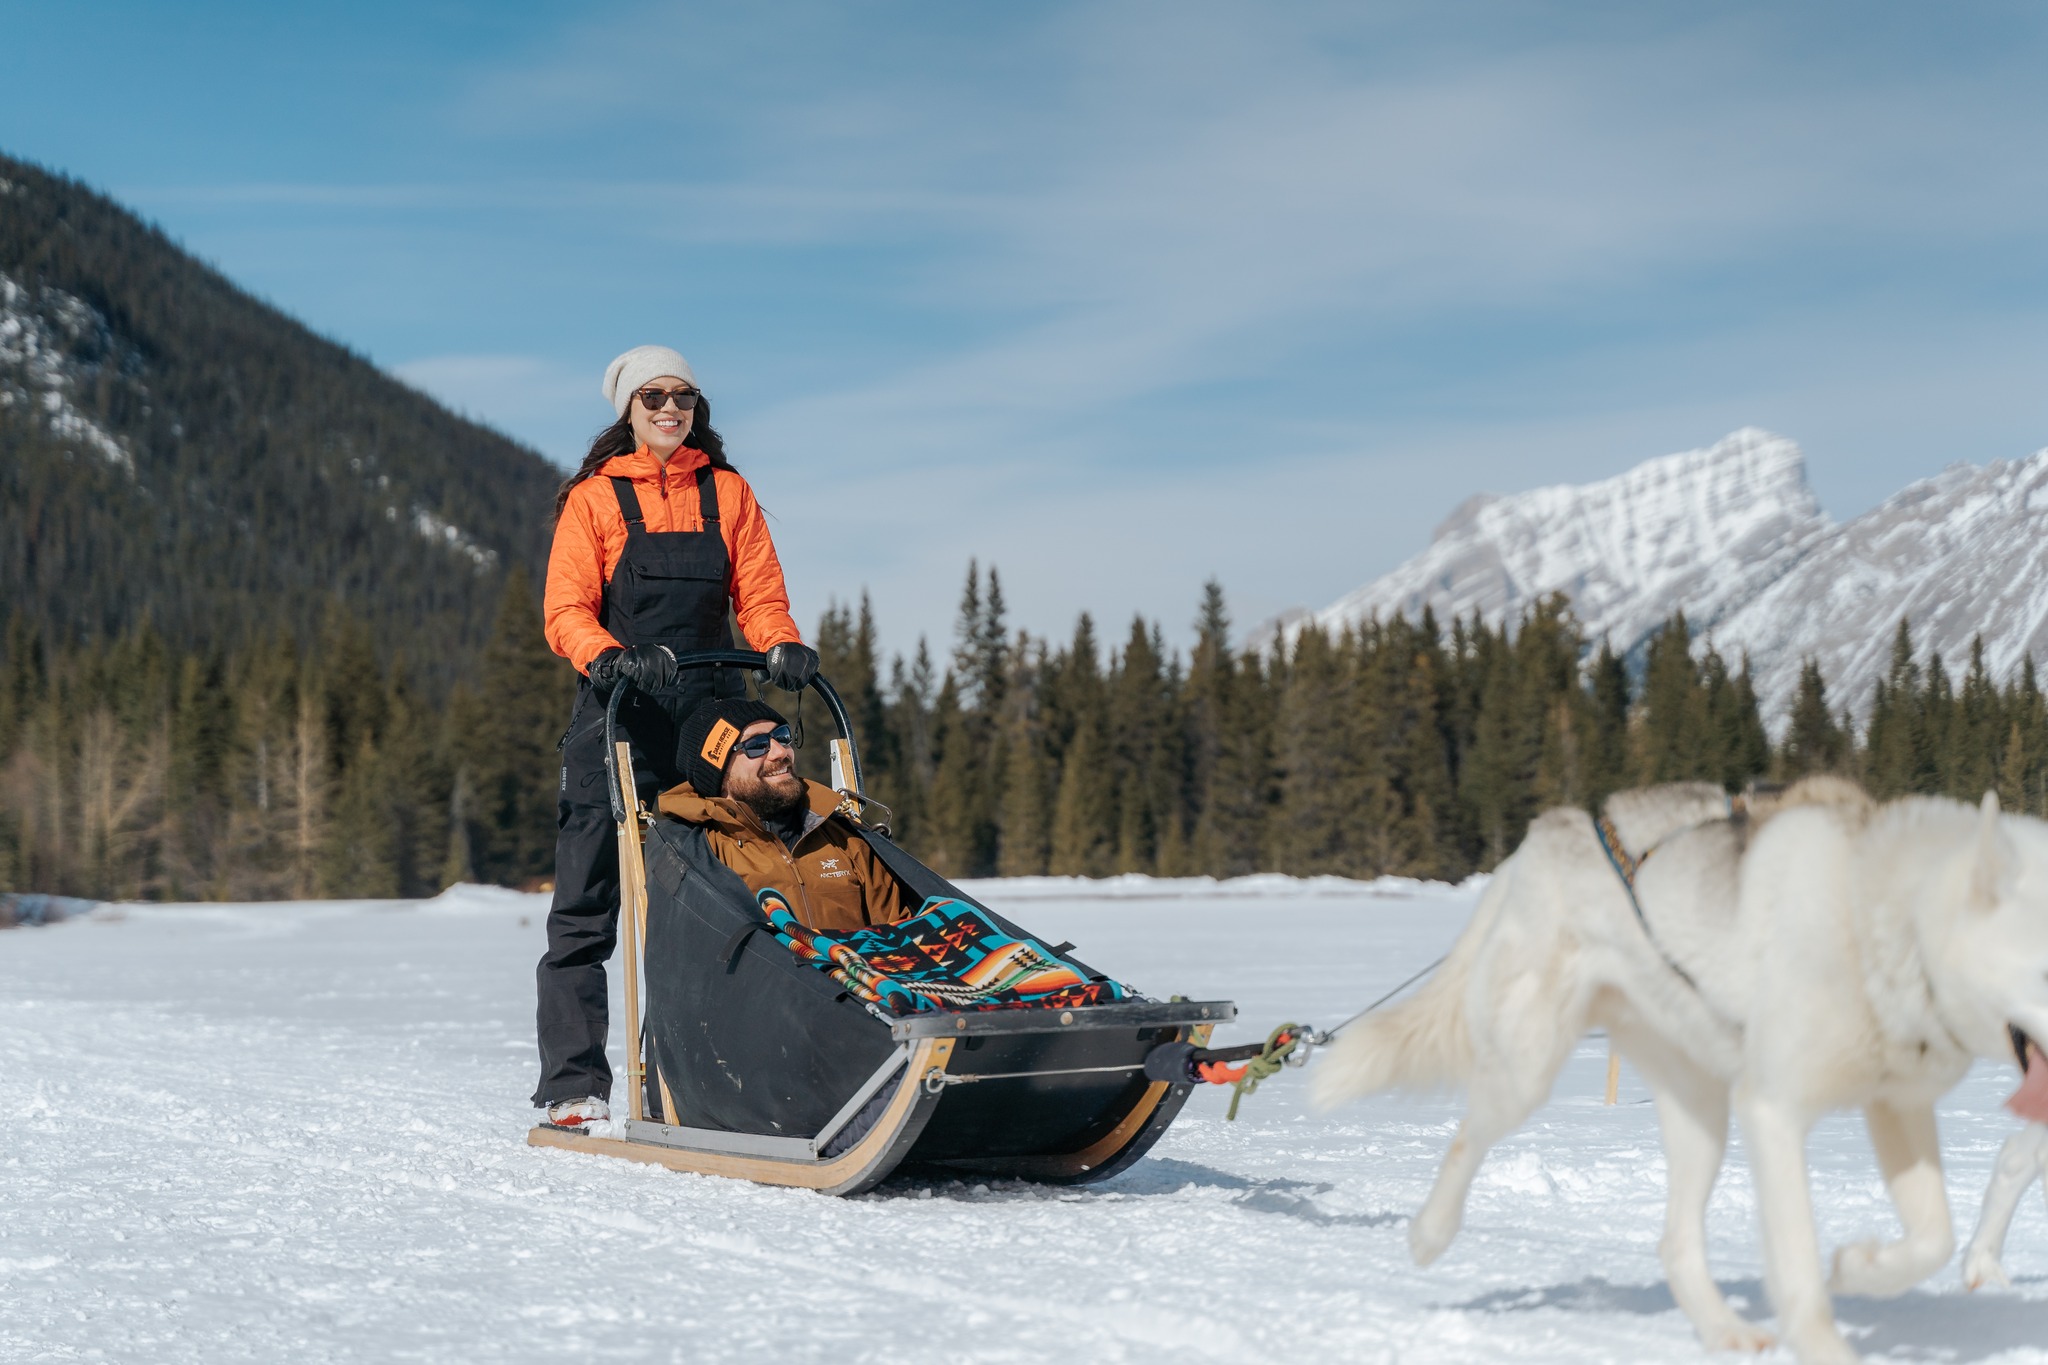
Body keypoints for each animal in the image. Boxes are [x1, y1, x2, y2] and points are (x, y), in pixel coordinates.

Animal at [1314, 779, 2048, 1364]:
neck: (1880, 921)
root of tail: (1546, 831)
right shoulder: (1772, 1110)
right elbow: (1800, 1273)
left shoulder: (1897, 1108)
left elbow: (1933, 1238)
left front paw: (1857, 1266)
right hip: (1529, 1070)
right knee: (1466, 1139)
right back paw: (1428, 1235)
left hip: (1702, 1114)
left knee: (1674, 1242)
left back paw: (1724, 1329)